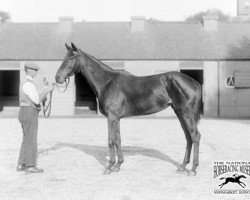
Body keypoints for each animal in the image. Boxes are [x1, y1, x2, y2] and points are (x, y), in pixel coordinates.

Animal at [55, 42, 203, 175]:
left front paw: (109, 167)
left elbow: (111, 140)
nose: (57, 78)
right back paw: (182, 166)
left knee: (195, 136)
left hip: (186, 113)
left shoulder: (111, 117)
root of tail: (193, 82)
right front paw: (118, 165)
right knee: (188, 136)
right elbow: (118, 139)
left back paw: (193, 169)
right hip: (179, 113)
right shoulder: (116, 118)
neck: (107, 82)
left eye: (71, 58)